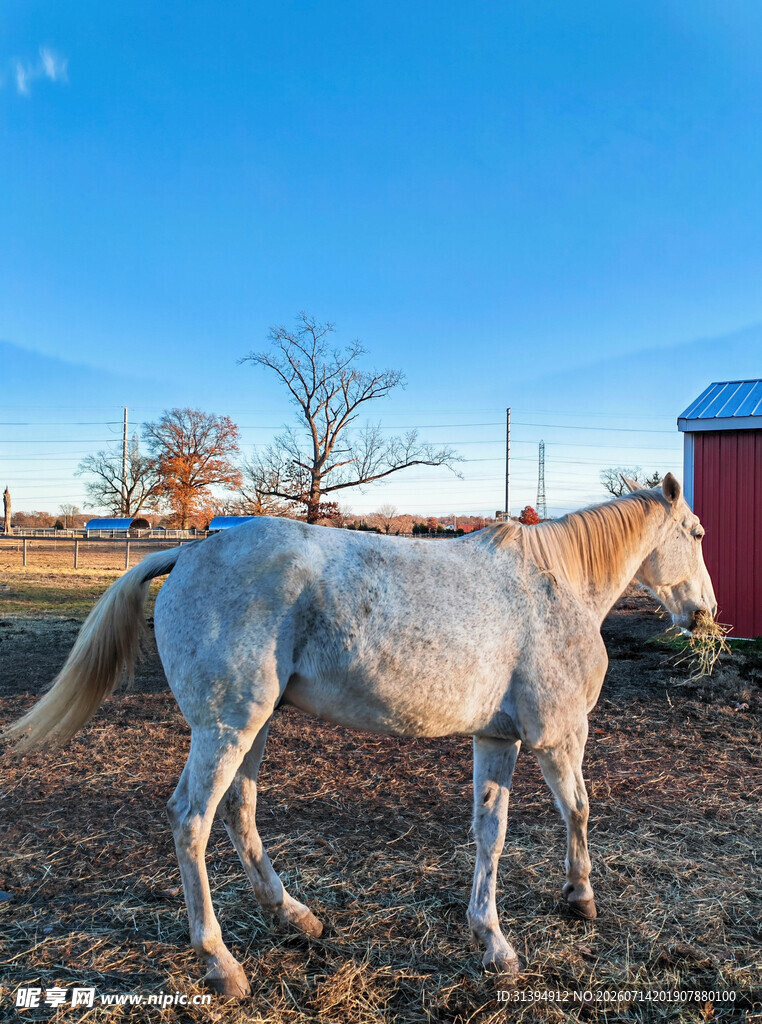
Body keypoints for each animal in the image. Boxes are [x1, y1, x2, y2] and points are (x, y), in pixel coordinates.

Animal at [5, 473, 716, 996]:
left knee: (239, 811)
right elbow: (579, 809)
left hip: (254, 727)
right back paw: (220, 962)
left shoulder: (498, 740)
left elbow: (491, 832)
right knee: (192, 821)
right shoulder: (556, 736)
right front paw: (579, 897)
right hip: (225, 729)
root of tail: (189, 549)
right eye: (697, 532)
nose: (704, 613)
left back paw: (293, 917)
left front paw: (492, 939)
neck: (558, 586)